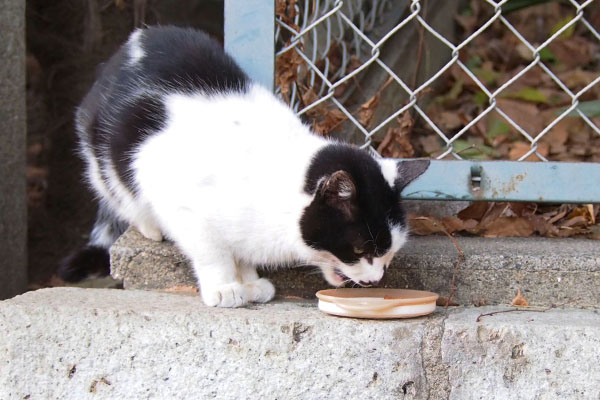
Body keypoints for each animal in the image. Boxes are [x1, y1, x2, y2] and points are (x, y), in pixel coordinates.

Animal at [59, 25, 426, 306]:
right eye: (361, 249)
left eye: (390, 251)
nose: (377, 279)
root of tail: (134, 41)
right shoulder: (185, 205)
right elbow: (213, 252)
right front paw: (225, 288)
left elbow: (242, 251)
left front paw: (249, 281)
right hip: (102, 153)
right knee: (117, 187)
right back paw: (150, 225)